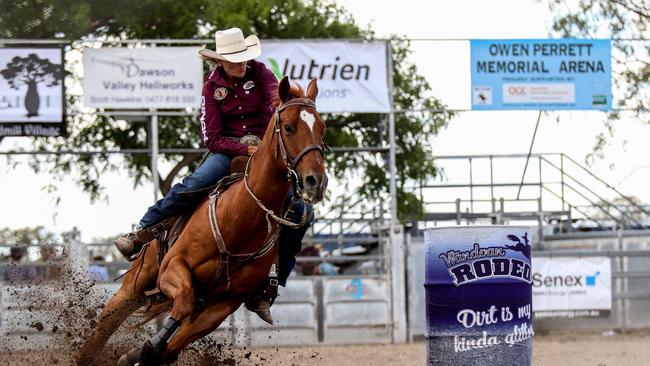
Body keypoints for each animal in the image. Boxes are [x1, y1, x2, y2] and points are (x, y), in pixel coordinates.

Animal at [76, 76, 326, 364]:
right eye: (288, 127)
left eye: (323, 128)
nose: (316, 181)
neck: (239, 219)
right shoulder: (173, 268)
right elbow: (182, 302)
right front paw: (143, 350)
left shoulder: (224, 304)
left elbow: (172, 345)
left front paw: (141, 353)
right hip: (137, 282)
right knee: (106, 323)